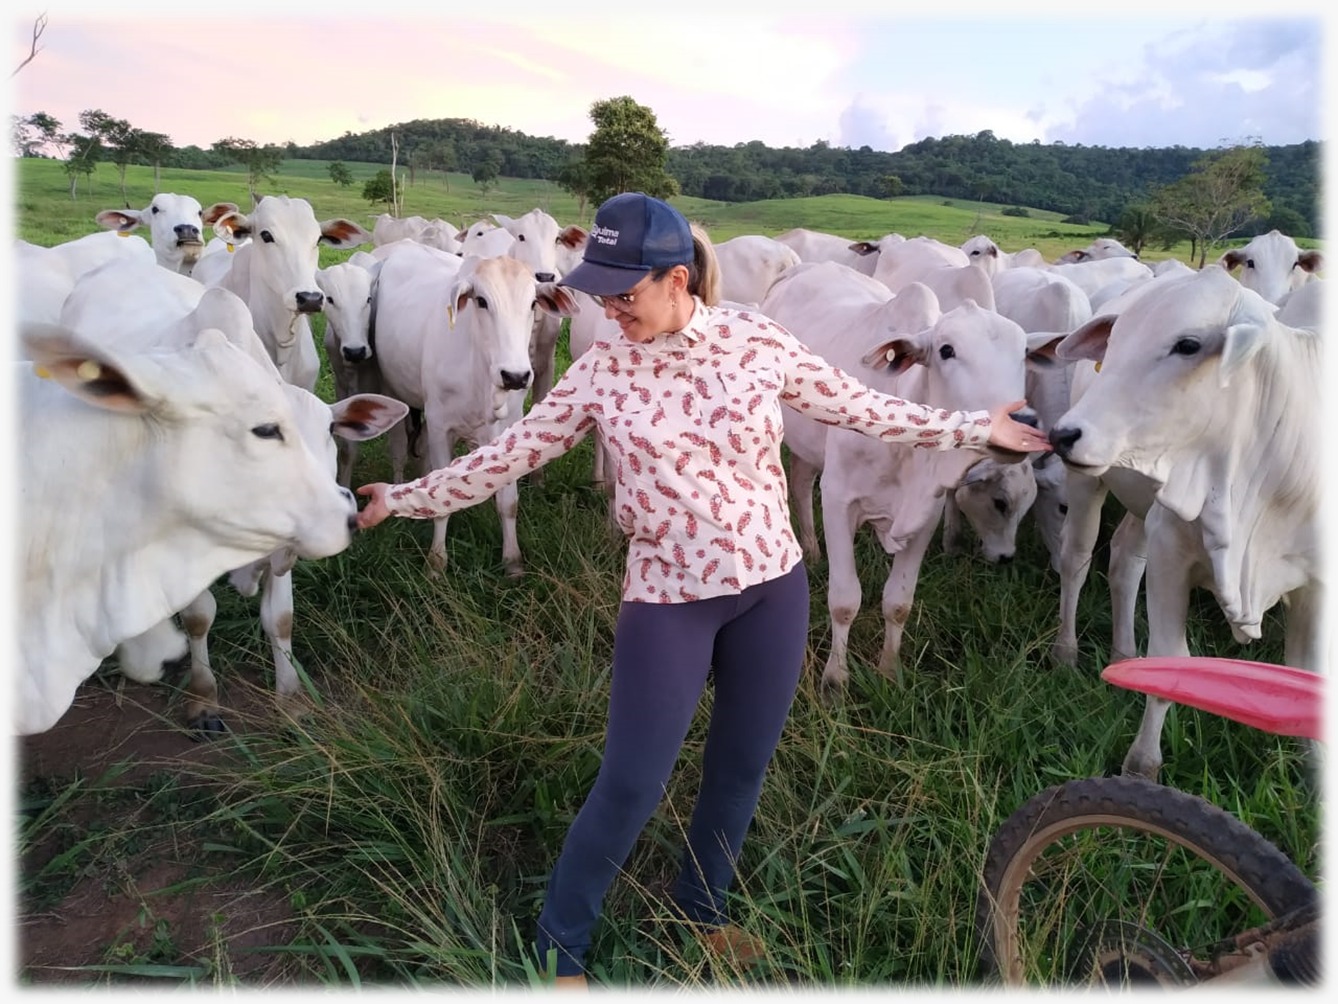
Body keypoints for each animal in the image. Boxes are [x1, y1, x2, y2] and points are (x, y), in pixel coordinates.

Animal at [369, 242, 578, 572]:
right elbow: (440, 501)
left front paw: (513, 561)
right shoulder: (441, 426)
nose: (516, 376)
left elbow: (508, 501)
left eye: (533, 303)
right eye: (481, 301)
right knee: (400, 449)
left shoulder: (506, 428)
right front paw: (436, 561)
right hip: (394, 393)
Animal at [759, 263, 1048, 690]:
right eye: (946, 350)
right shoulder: (839, 500)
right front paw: (835, 679)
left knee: (799, 481)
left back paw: (810, 549)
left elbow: (898, 601)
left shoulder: (926, 515)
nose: (1023, 422)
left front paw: (889, 671)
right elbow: (845, 600)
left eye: (1025, 353)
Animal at [1048, 271, 1321, 781]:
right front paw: (1141, 766)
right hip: (1089, 485)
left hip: (1144, 507)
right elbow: (1172, 662)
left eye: (1188, 345)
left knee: (1124, 561)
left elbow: (1307, 672)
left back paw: (1124, 656)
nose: (1064, 434)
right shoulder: (1171, 548)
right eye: (1115, 340)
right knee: (1076, 560)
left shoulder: (1317, 586)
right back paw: (1066, 652)